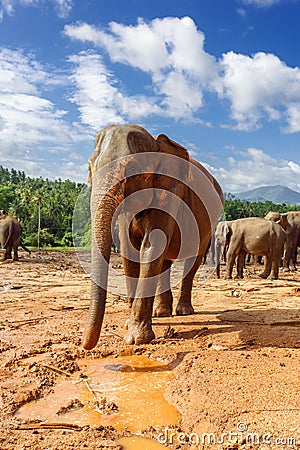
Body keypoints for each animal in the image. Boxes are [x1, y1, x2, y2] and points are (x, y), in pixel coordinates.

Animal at [82, 125, 223, 350]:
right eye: (90, 167)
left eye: (132, 168)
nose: (84, 344)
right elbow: (130, 252)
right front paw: (128, 324)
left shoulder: (170, 192)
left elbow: (151, 247)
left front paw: (135, 339)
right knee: (165, 262)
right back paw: (161, 313)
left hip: (208, 225)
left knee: (193, 261)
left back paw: (183, 311)